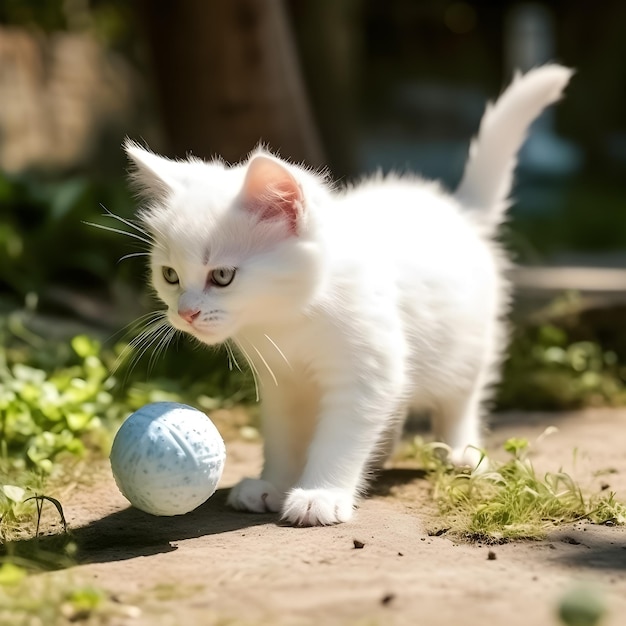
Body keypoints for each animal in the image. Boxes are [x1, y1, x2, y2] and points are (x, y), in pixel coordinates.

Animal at [125, 64, 572, 520]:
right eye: (170, 276)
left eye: (222, 276)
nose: (186, 313)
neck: (289, 320)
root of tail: (458, 211)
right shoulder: (283, 382)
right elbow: (285, 435)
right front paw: (274, 484)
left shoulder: (366, 370)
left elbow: (342, 436)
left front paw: (320, 494)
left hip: (465, 345)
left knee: (460, 398)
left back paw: (461, 452)